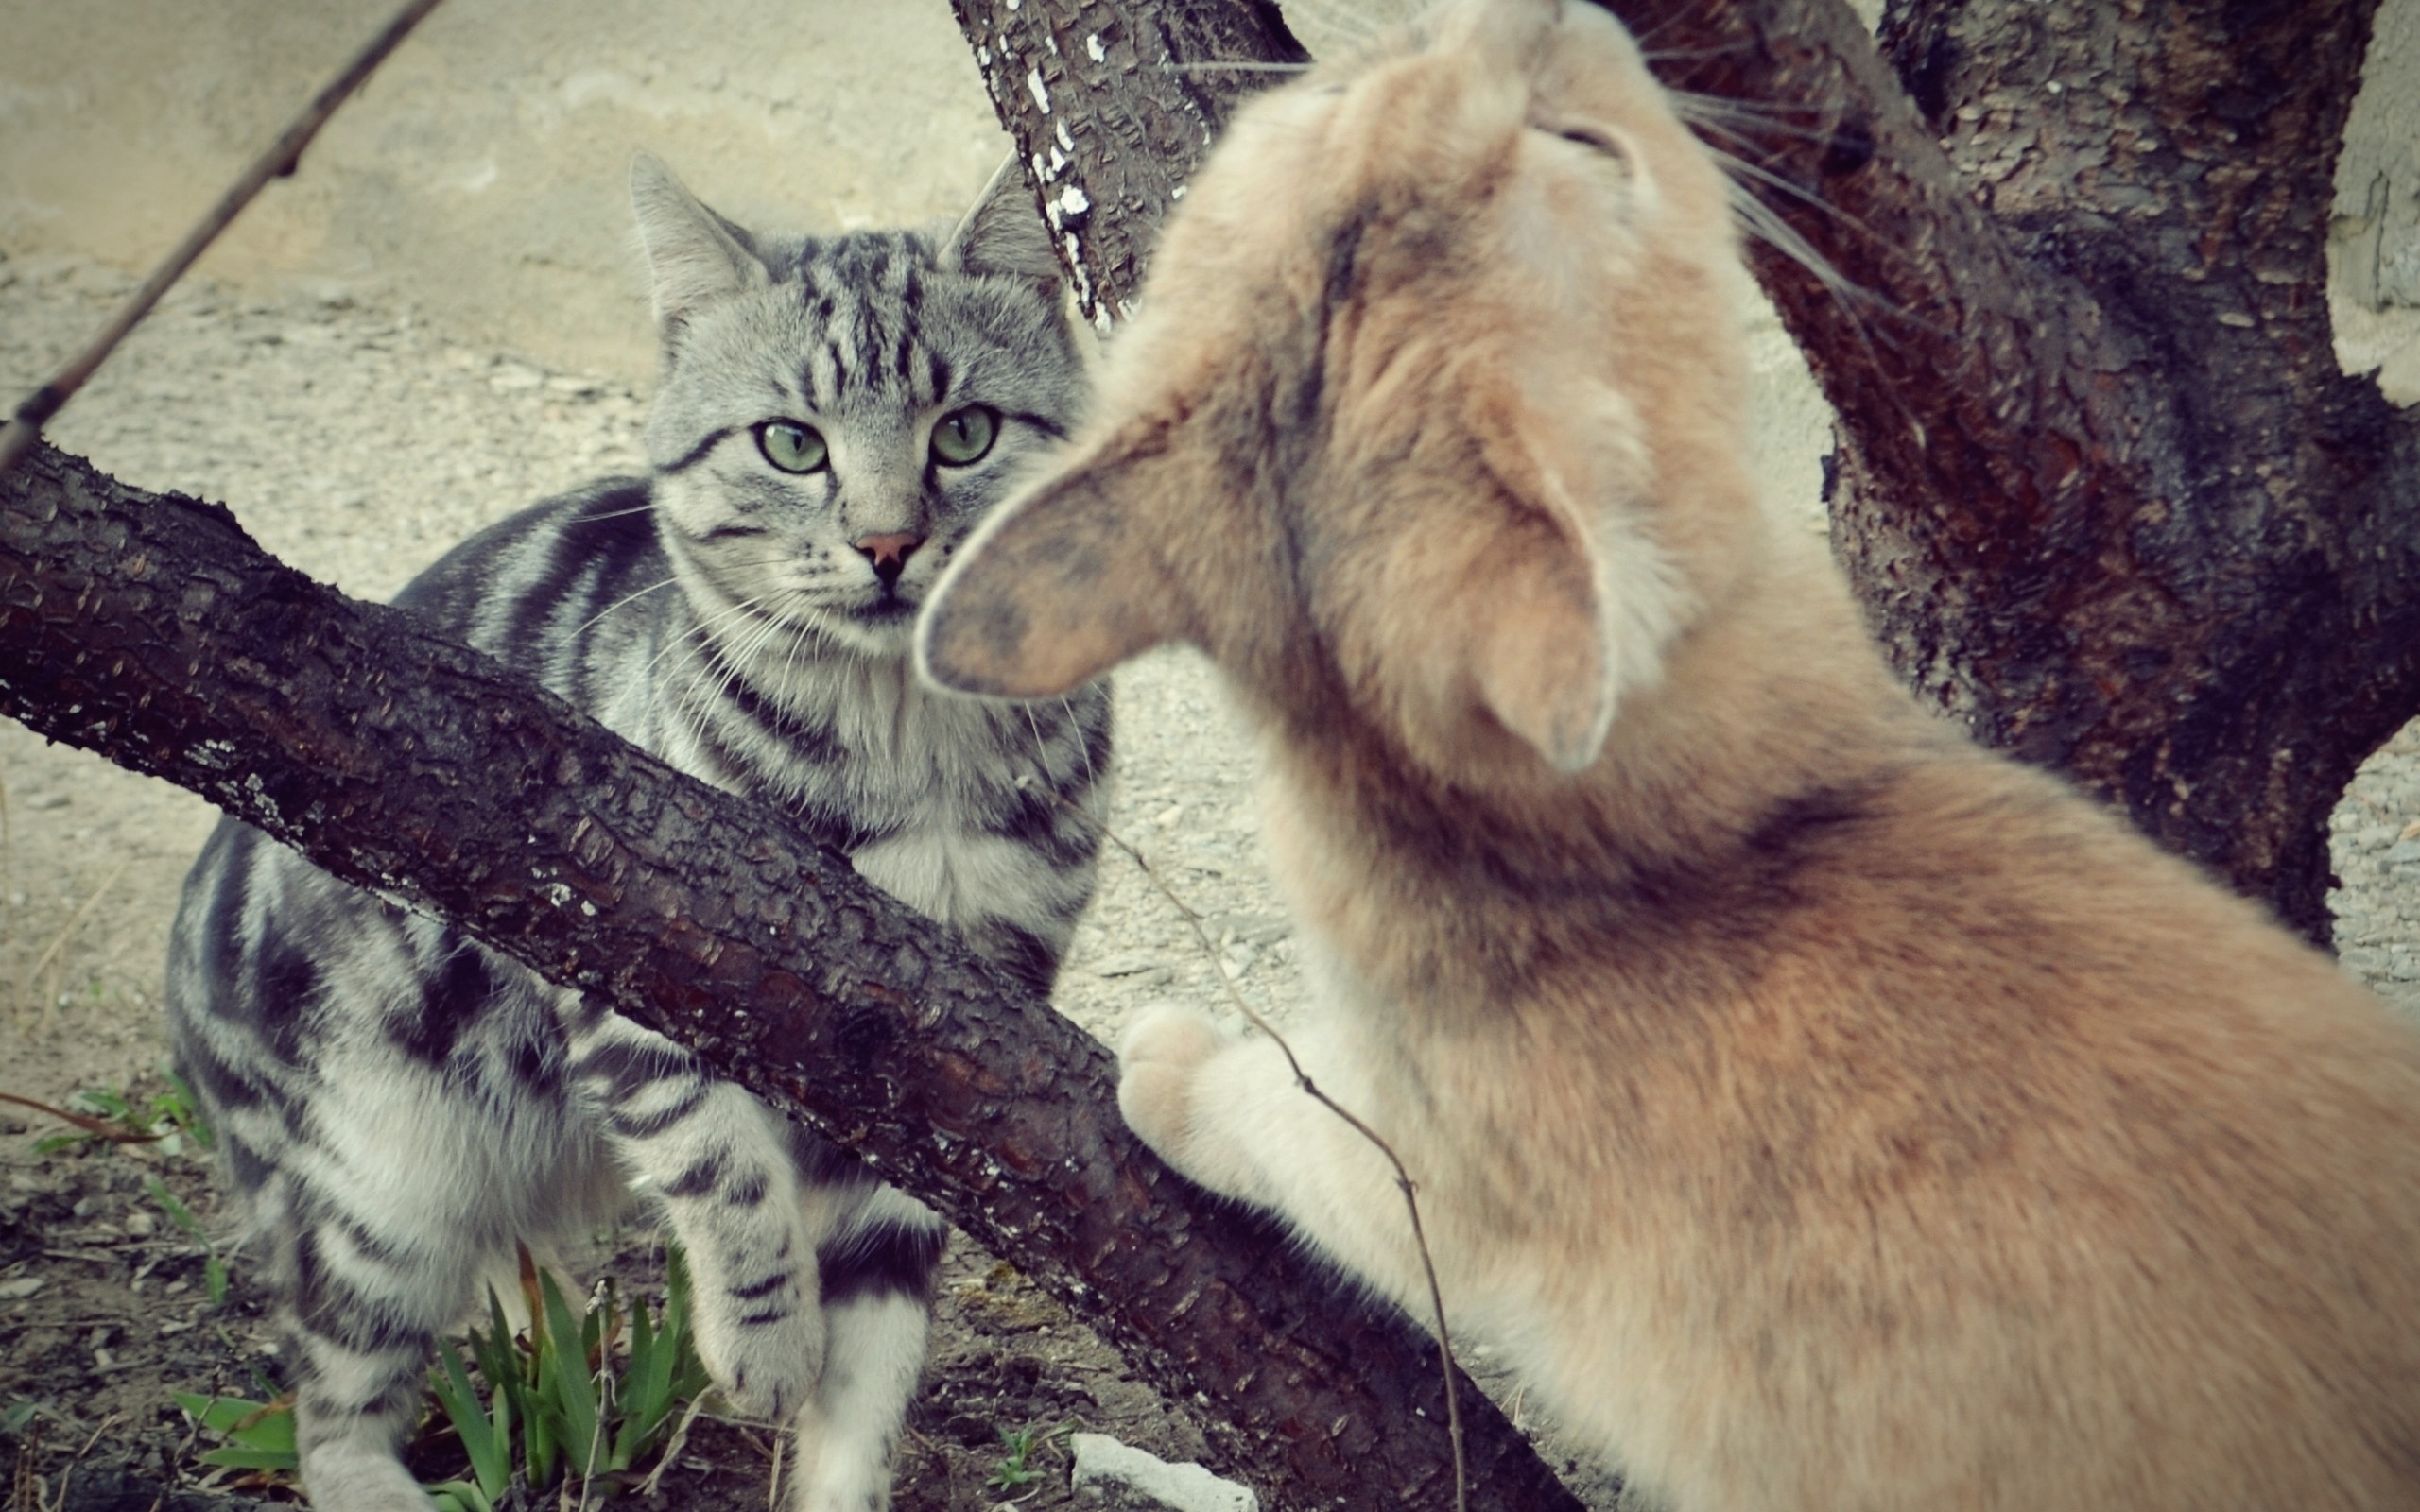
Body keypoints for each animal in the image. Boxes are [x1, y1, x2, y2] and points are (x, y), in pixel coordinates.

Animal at [165, 156, 1108, 1509]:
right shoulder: (640, 948)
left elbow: (874, 1349)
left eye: (965, 431)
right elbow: (725, 1164)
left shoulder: (963, 1055)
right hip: (378, 1191)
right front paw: (764, 1343)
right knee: (329, 1409)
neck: (909, 748)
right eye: (791, 443)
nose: (887, 543)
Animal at [914, 6, 2420, 1500]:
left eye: (1344, 92)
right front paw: (1181, 1065)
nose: (1528, 18)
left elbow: (1296, 1099)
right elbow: (1296, 1114)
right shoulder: (1420, 1170)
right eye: (1581, 143)